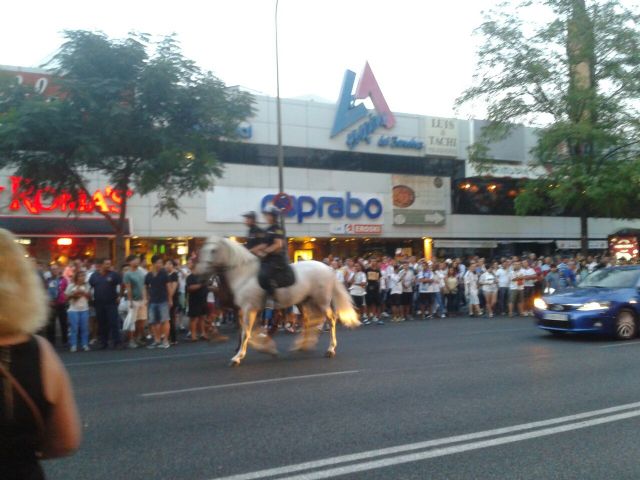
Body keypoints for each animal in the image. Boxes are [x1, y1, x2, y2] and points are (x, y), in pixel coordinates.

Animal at [196, 236, 360, 366]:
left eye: (213, 250)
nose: (200, 275)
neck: (245, 274)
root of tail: (329, 269)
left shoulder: (249, 308)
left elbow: (246, 332)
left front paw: (238, 357)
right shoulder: (247, 310)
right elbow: (250, 331)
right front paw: (267, 348)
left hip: (321, 301)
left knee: (331, 320)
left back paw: (330, 349)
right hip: (305, 301)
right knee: (311, 321)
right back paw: (301, 345)